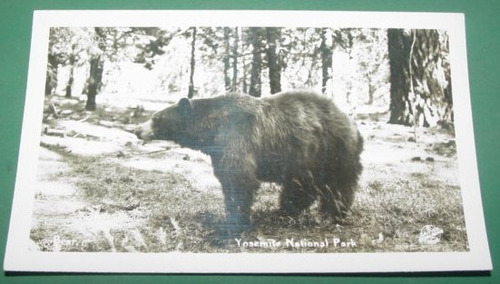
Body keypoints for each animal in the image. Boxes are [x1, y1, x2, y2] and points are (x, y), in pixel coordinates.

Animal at [136, 90, 364, 234]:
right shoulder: (220, 150)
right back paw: (286, 210)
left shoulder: (238, 137)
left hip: (333, 149)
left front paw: (234, 221)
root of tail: (351, 121)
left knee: (338, 185)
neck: (213, 127)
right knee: (302, 185)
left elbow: (238, 178)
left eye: (156, 118)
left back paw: (333, 213)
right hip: (308, 158)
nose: (137, 129)